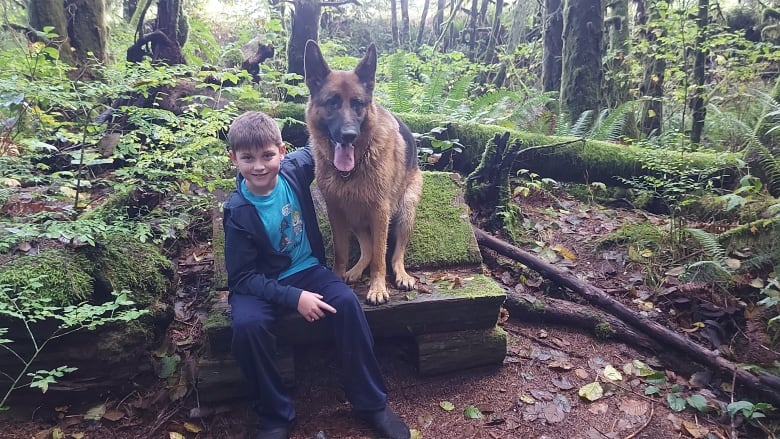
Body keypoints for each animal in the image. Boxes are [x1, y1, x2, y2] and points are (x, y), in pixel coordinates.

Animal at [304, 41, 424, 306]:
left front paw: (377, 288)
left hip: (404, 212)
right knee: (367, 248)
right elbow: (341, 253)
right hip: (354, 214)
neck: (351, 171)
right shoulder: (336, 212)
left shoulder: (380, 212)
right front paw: (338, 277)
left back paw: (402, 275)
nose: (349, 135)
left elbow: (380, 256)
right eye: (332, 102)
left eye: (358, 103)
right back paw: (356, 270)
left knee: (395, 254)